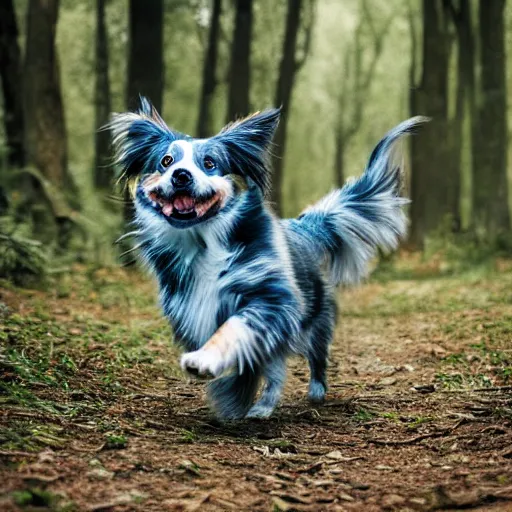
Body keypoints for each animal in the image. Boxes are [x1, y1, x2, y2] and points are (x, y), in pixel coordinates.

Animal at [110, 97, 426, 420]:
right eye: (166, 161)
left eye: (209, 163)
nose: (181, 175)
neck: (203, 241)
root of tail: (303, 226)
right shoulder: (191, 307)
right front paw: (235, 394)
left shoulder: (271, 298)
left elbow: (234, 327)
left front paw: (206, 363)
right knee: (276, 369)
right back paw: (262, 406)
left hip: (315, 319)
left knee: (315, 356)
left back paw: (313, 392)